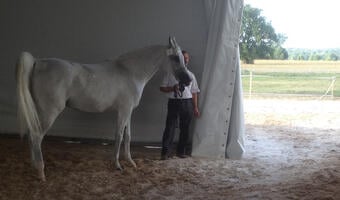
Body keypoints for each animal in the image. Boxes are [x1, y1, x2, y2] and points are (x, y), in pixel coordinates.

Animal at [16, 36, 191, 180]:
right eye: (175, 58)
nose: (188, 81)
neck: (131, 72)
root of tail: (38, 62)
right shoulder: (123, 111)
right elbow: (119, 136)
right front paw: (117, 165)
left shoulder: (128, 112)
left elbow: (128, 136)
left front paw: (131, 162)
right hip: (49, 112)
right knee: (36, 136)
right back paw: (41, 173)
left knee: (32, 135)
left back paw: (33, 166)